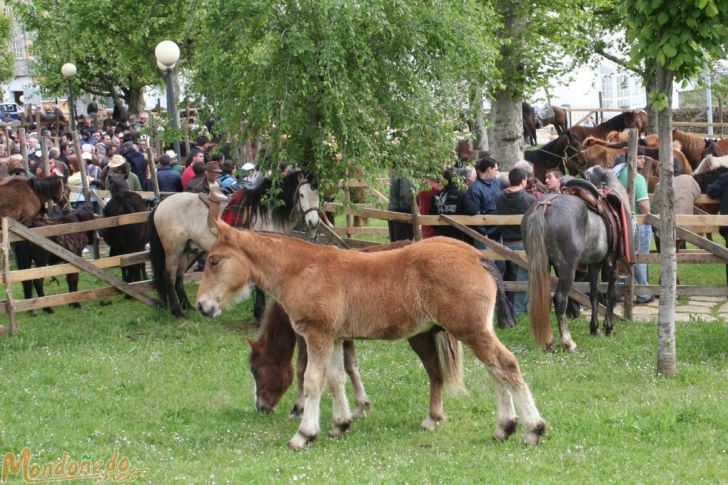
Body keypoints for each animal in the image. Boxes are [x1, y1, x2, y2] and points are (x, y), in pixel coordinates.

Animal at [196, 225, 544, 448]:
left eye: (214, 260)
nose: (202, 305)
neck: (303, 268)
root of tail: (476, 257)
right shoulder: (335, 338)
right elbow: (336, 379)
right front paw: (340, 424)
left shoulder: (317, 335)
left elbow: (311, 381)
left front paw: (304, 434)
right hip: (475, 330)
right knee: (494, 371)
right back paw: (504, 428)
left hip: (469, 329)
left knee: (506, 365)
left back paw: (532, 430)